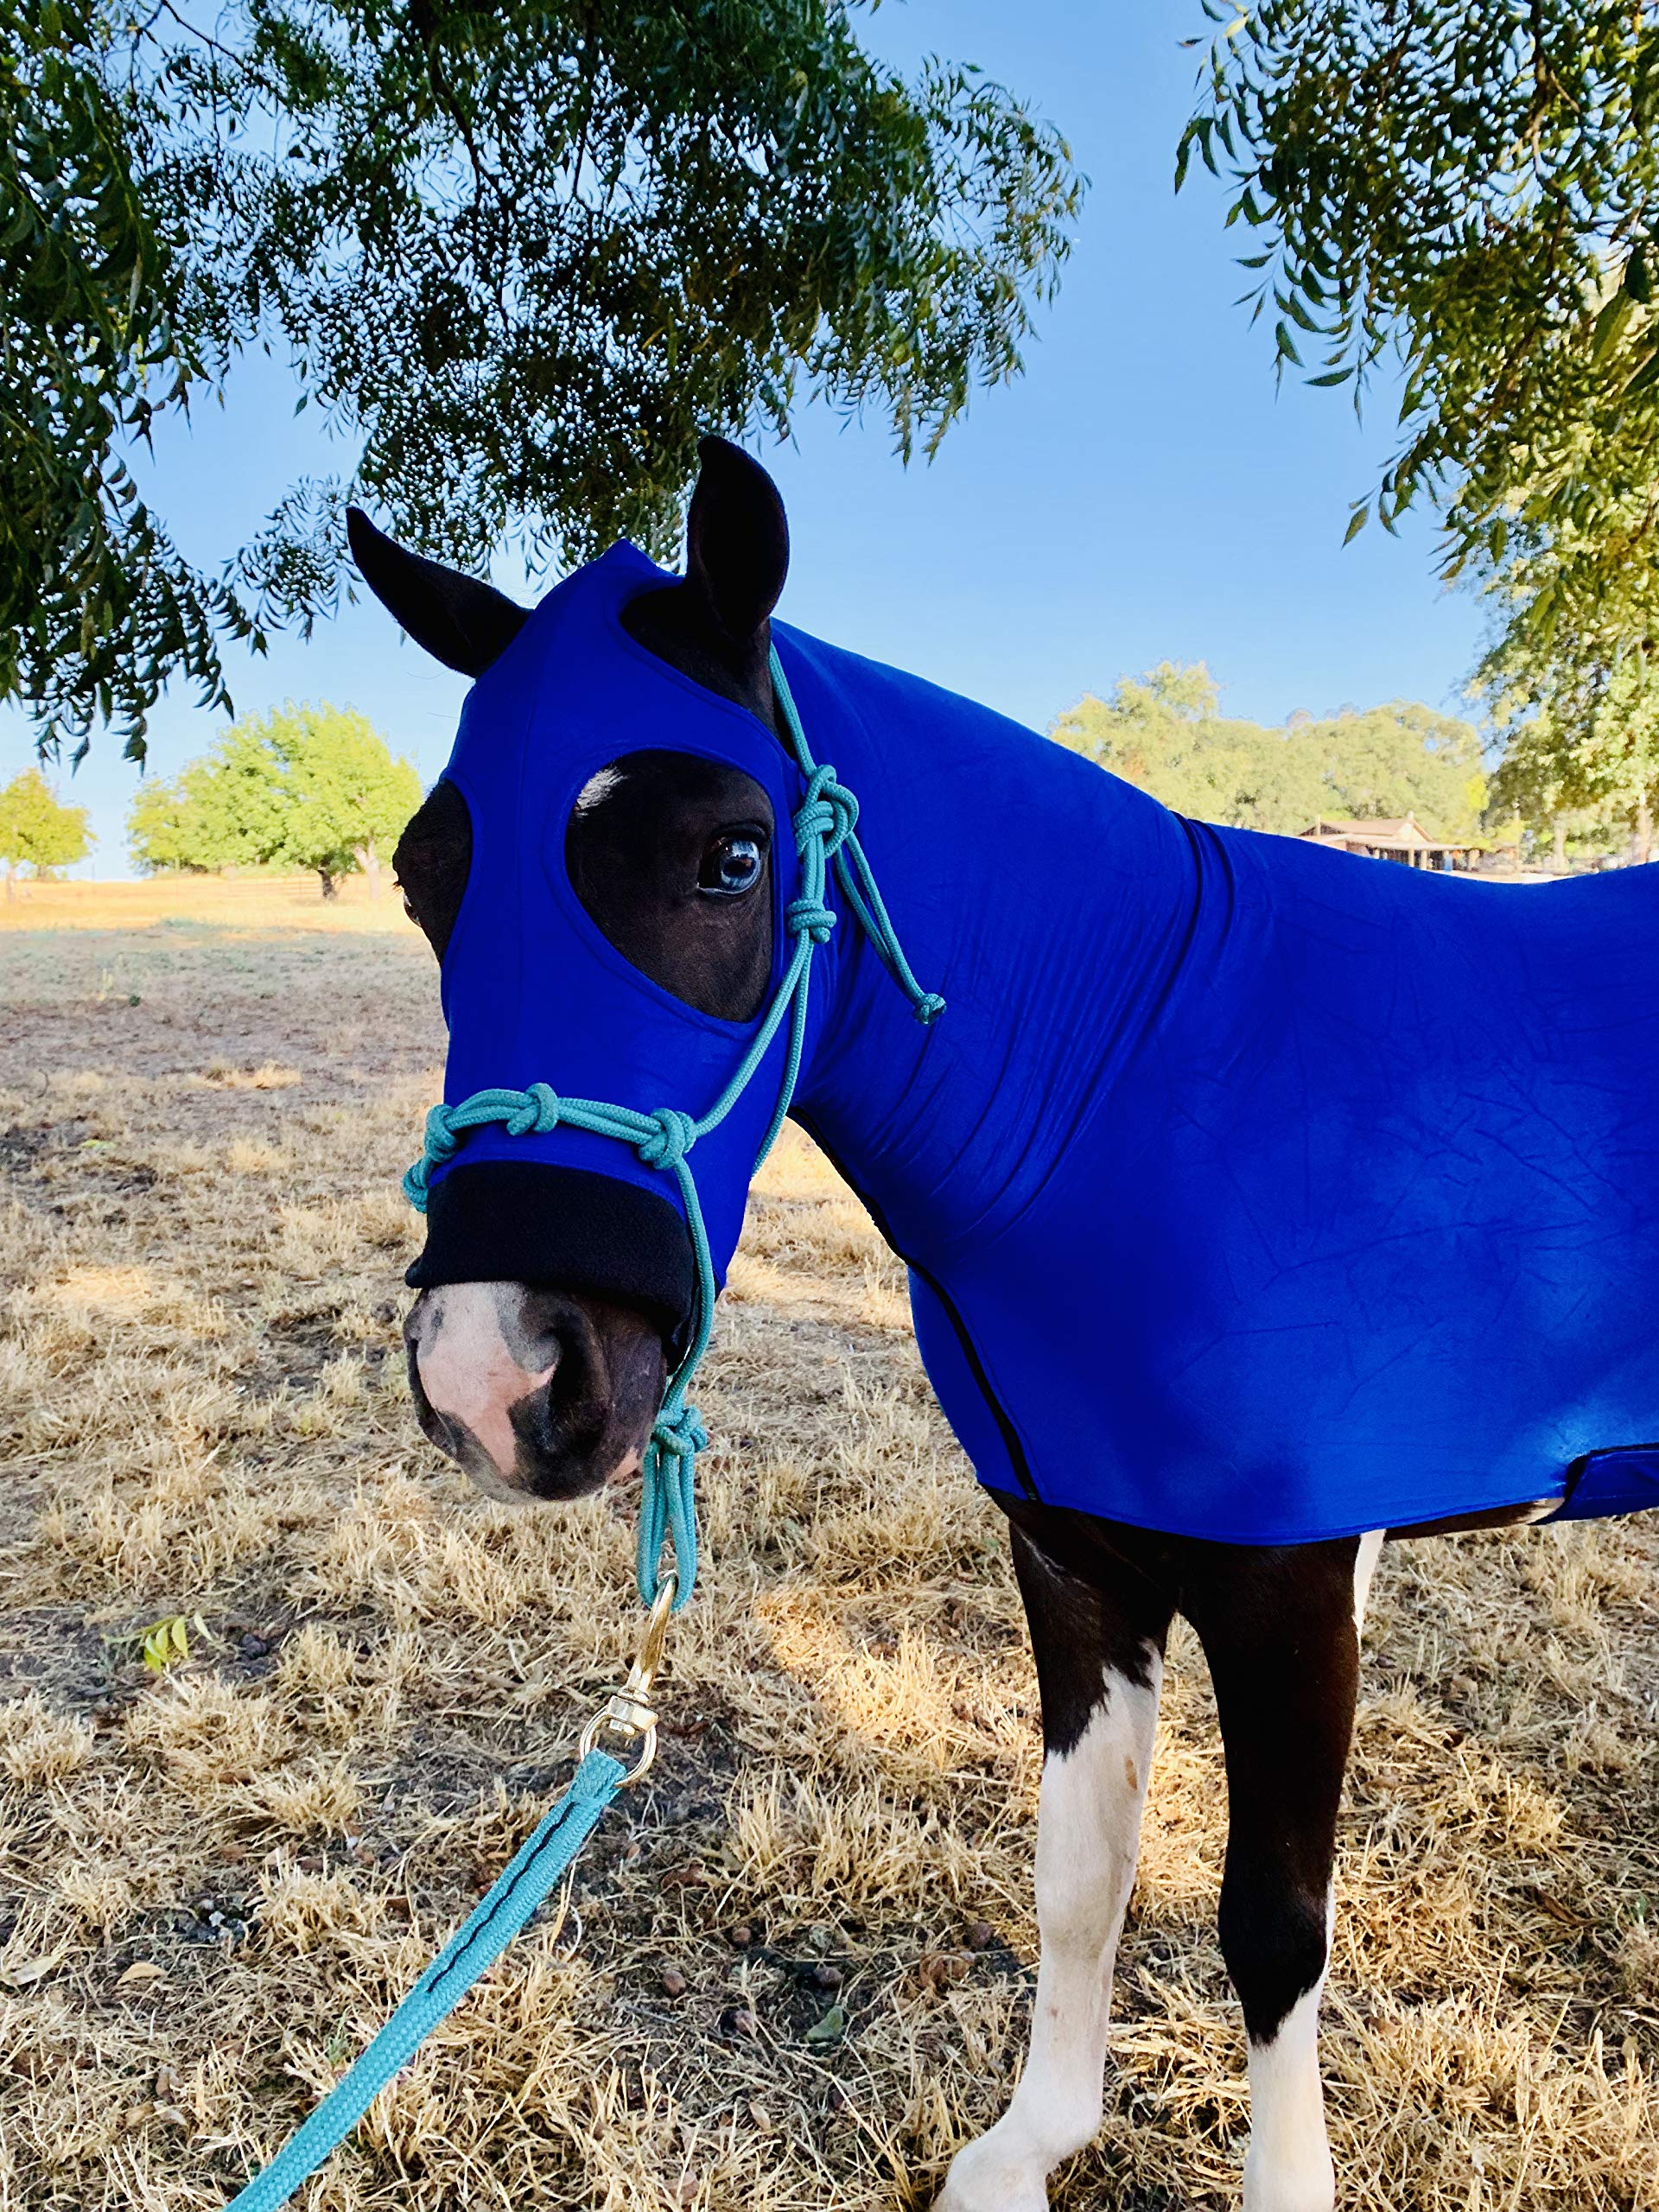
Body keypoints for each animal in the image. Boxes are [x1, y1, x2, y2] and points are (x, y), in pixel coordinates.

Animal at [352, 437, 1659, 2212]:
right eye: (428, 880)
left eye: (732, 855)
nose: (496, 1372)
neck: (1143, 1083)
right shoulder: (1073, 1560)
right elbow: (1077, 1867)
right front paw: (1033, 2143)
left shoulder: (1293, 1588)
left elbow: (1273, 1930)